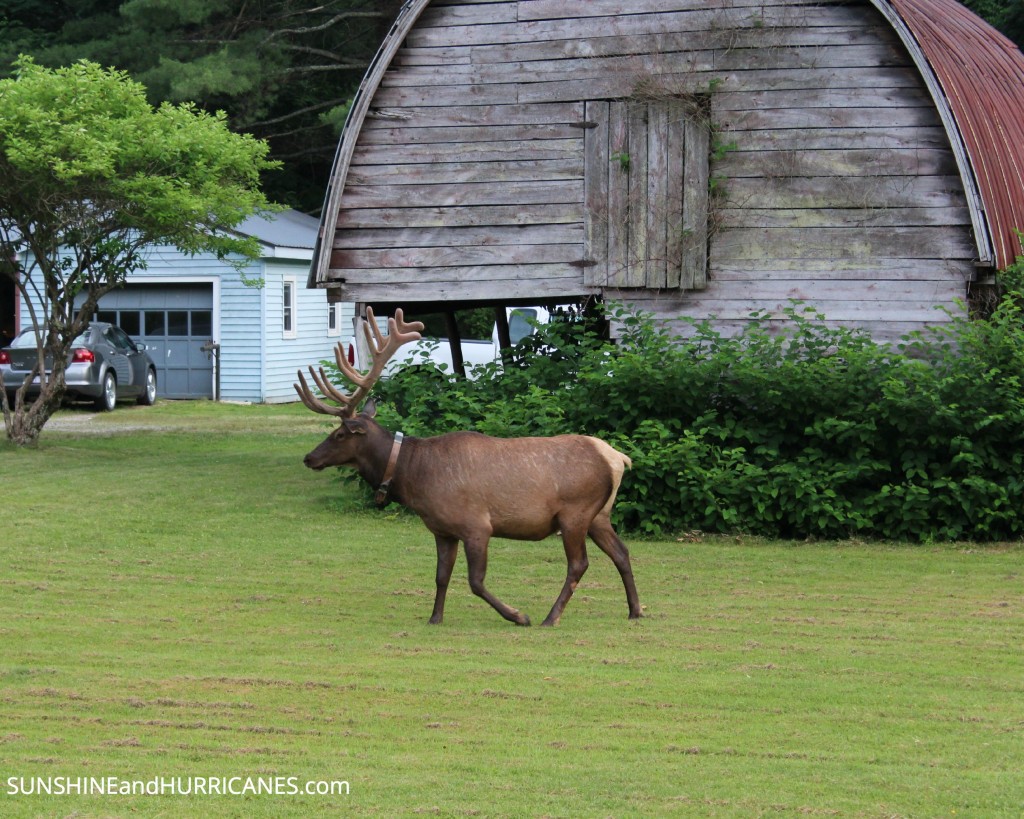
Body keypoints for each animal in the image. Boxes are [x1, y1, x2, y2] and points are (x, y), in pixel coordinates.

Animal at [294, 309, 638, 626]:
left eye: (339, 435)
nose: (309, 457)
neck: (413, 477)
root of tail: (617, 458)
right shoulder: (443, 530)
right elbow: (441, 576)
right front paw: (434, 618)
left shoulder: (476, 525)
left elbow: (475, 581)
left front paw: (517, 615)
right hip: (599, 514)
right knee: (621, 552)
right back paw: (635, 611)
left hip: (575, 511)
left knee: (579, 563)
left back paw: (550, 617)